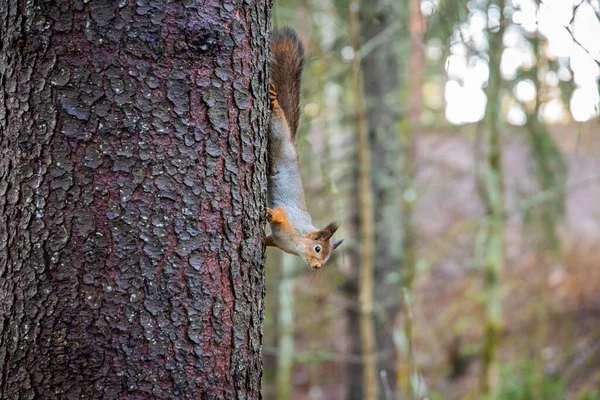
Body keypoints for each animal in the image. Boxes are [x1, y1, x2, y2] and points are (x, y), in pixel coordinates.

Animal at [266, 28, 344, 268]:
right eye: (318, 248)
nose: (317, 266)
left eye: (327, 258)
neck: (297, 241)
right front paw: (272, 215)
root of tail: (292, 143)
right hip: (280, 139)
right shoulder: (292, 218)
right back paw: (274, 103)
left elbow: (268, 239)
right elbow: (282, 214)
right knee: (278, 118)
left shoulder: (278, 241)